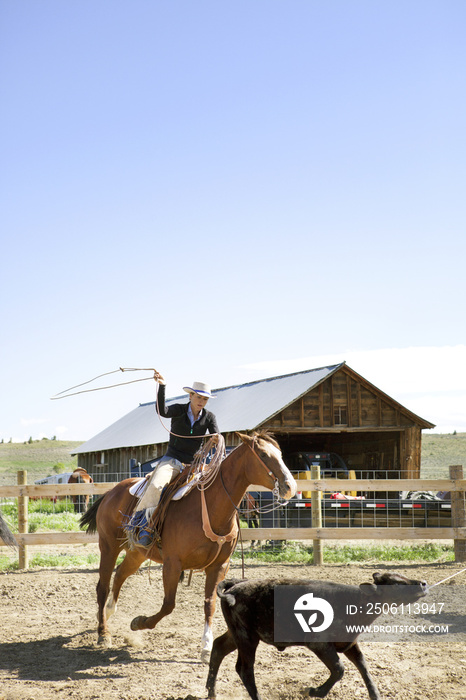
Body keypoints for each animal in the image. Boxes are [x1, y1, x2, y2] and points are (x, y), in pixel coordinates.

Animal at [79, 430, 294, 660]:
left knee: (120, 573)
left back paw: (110, 610)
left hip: (137, 553)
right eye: (263, 454)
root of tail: (111, 492)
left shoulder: (219, 565)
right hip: (108, 547)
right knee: (103, 586)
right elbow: (168, 604)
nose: (290, 486)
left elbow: (210, 603)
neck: (211, 507)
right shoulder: (172, 564)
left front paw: (206, 646)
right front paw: (139, 622)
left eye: (281, 454)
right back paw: (103, 633)